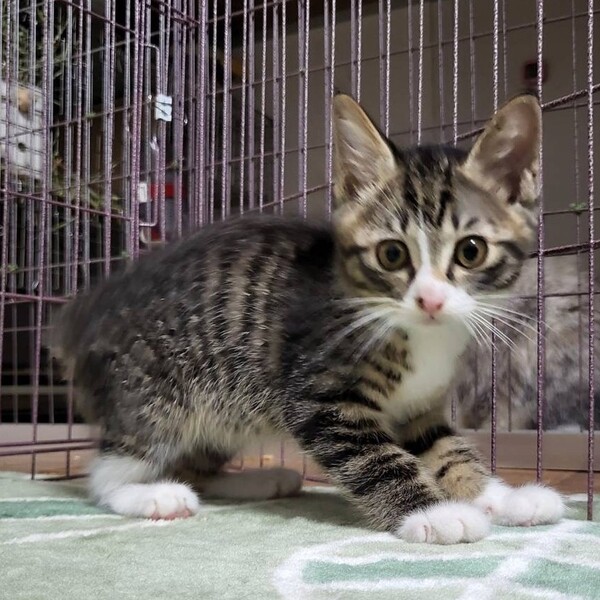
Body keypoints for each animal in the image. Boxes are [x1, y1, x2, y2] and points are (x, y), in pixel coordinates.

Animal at [50, 93, 564, 545]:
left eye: (470, 251)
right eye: (392, 254)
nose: (431, 301)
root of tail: (93, 306)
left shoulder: (419, 407)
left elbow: (449, 450)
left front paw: (501, 498)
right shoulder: (319, 396)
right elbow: (378, 459)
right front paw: (435, 514)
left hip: (229, 407)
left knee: (196, 460)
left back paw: (255, 483)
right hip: (158, 395)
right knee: (106, 472)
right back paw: (154, 496)